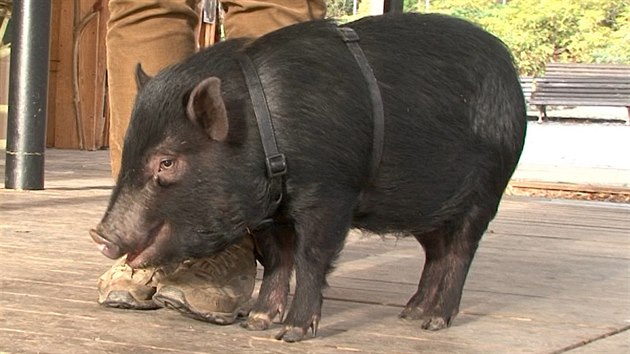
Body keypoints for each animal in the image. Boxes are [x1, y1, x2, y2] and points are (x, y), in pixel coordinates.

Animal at [90, 12, 528, 342]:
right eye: (129, 151)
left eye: (166, 162)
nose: (100, 234)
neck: (270, 134)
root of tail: (509, 70)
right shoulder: (269, 212)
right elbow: (276, 259)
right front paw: (257, 322)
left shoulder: (331, 194)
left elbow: (311, 257)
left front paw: (292, 332)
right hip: (426, 208)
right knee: (436, 253)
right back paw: (411, 312)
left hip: (487, 189)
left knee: (461, 251)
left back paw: (435, 322)